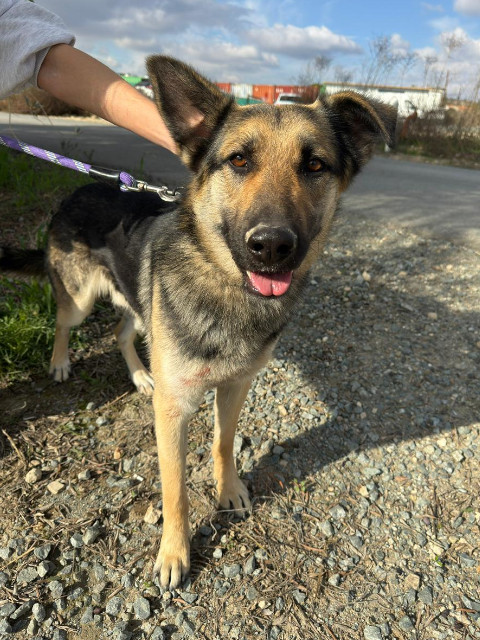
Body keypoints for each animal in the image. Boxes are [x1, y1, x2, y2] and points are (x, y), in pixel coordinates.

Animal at [0, 56, 396, 588]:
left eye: (315, 165)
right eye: (239, 161)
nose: (272, 246)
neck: (226, 288)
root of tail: (81, 184)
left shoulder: (235, 386)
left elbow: (224, 443)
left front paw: (228, 490)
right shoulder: (173, 412)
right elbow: (176, 492)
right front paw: (174, 553)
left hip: (139, 307)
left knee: (121, 333)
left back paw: (141, 375)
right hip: (81, 297)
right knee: (66, 321)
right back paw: (62, 361)